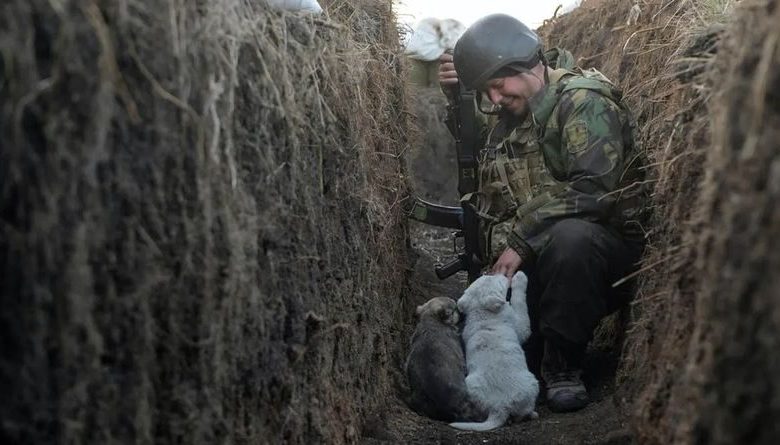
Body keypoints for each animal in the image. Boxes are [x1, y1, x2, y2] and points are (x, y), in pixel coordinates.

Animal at [448, 270, 540, 430]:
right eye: (496, 280)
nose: (500, 273)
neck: (481, 312)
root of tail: (499, 407)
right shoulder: (521, 326)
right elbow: (519, 302)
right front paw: (520, 277)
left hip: (470, 384)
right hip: (532, 383)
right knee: (522, 413)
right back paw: (532, 414)